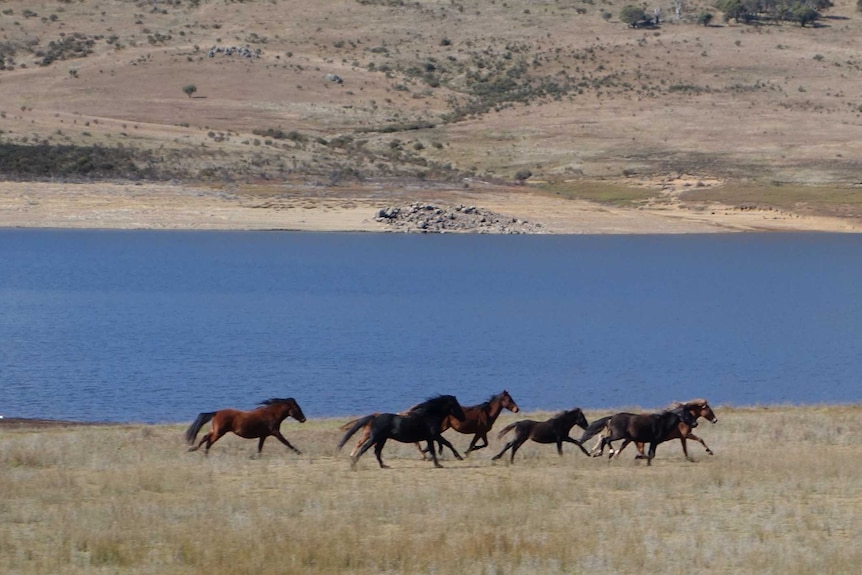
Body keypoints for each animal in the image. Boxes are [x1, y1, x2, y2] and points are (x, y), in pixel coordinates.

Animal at [340, 396, 472, 472]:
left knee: (377, 451)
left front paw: (437, 464)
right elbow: (446, 444)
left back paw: (384, 466)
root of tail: (374, 417)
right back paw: (353, 464)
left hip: (382, 439)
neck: (429, 416)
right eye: (456, 405)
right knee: (364, 448)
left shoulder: (430, 438)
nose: (463, 418)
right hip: (376, 437)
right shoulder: (434, 435)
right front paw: (457, 458)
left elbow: (434, 449)